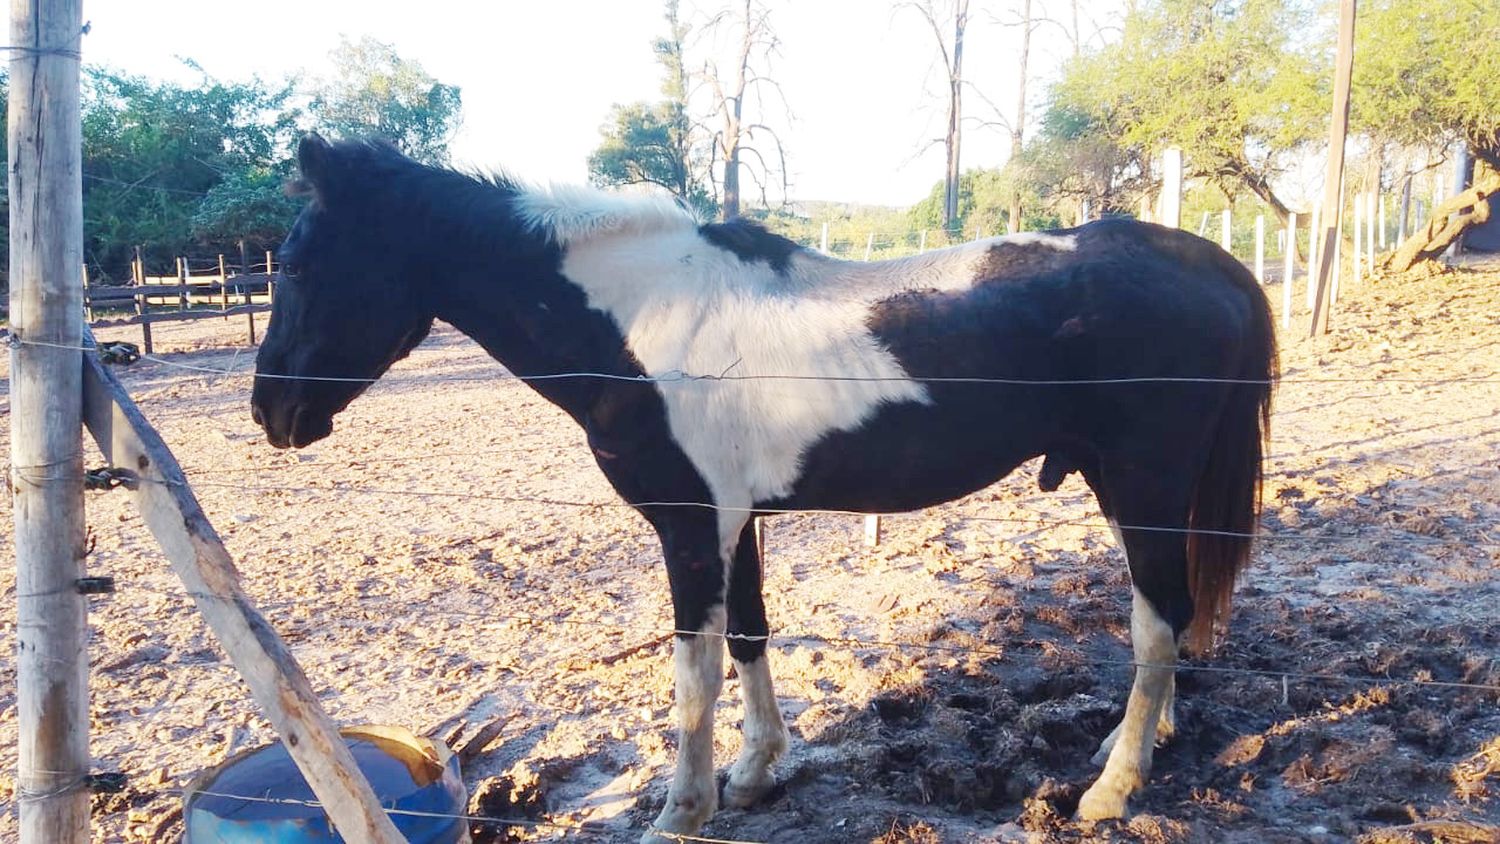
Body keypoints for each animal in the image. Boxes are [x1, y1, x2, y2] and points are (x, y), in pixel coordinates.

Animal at [252, 135, 1272, 839]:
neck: (640, 321)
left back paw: (1111, 789)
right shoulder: (736, 522)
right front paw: (753, 774)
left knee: (1157, 620)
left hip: (1142, 484)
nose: (272, 412)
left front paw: (683, 809)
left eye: (297, 264)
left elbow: (692, 672)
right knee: (1172, 616)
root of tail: (1212, 266)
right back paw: (1136, 746)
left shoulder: (690, 527)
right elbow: (747, 637)